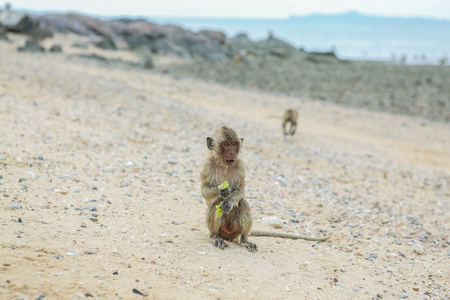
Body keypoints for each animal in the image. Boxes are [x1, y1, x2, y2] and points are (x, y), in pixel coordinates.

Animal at [200, 125, 330, 252]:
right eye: (226, 144)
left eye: (235, 144)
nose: (232, 153)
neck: (224, 164)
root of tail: (229, 236)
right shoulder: (207, 165)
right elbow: (205, 191)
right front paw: (222, 191)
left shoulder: (240, 165)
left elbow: (241, 191)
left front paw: (230, 201)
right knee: (216, 203)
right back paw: (216, 237)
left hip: (236, 229)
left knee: (243, 203)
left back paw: (244, 240)